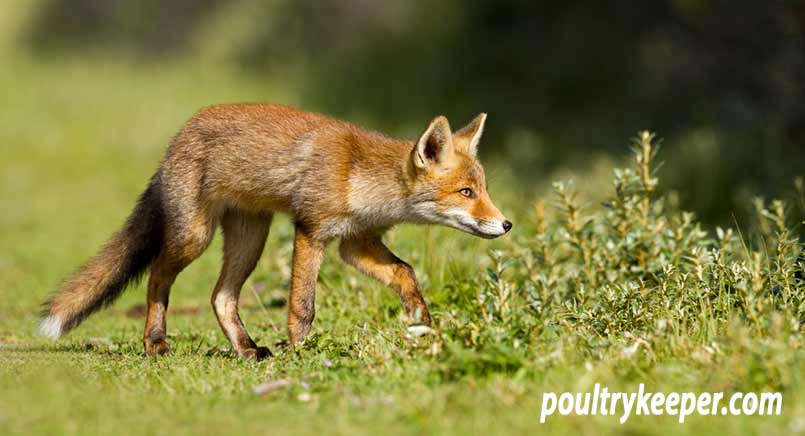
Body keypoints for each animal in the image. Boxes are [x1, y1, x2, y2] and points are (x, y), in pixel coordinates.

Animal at [37, 104, 512, 360]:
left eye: (483, 190)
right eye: (467, 192)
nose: (506, 224)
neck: (361, 176)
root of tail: (178, 137)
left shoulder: (357, 243)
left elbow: (406, 273)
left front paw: (424, 324)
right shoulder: (312, 230)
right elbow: (302, 306)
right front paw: (300, 351)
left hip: (250, 239)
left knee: (220, 297)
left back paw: (247, 349)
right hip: (194, 236)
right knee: (157, 277)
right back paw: (155, 341)